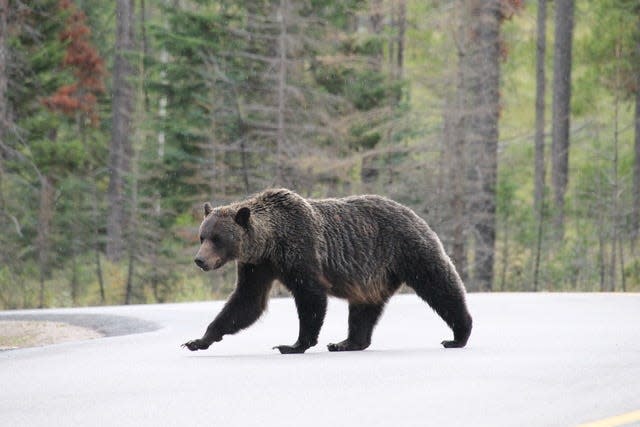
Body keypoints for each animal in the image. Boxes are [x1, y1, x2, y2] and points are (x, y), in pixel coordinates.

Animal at [182, 190, 472, 354]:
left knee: (439, 284)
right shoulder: (258, 266)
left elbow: (311, 298)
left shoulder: (301, 252)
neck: (271, 244)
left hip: (407, 250)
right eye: (202, 236)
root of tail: (412, 212)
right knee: (364, 308)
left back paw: (458, 335)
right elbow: (246, 302)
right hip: (373, 275)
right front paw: (198, 340)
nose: (199, 260)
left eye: (218, 238)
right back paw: (347, 342)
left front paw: (293, 344)